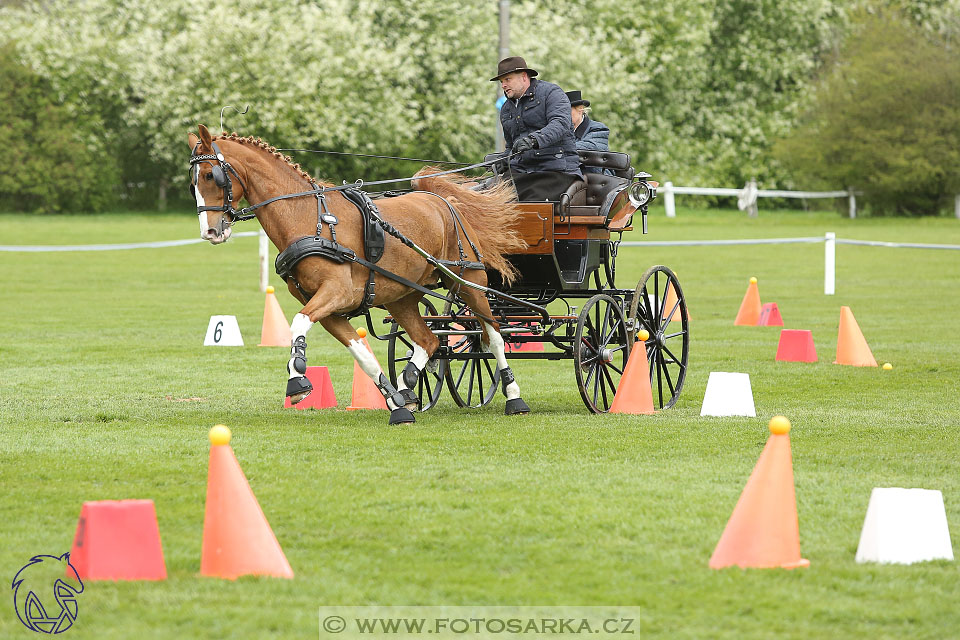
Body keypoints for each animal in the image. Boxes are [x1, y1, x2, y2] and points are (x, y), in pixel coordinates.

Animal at [188, 125, 532, 424]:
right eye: (193, 183)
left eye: (210, 175)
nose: (210, 232)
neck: (309, 219)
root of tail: (441, 200)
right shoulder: (329, 311)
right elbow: (362, 355)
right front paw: (396, 404)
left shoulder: (336, 292)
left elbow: (297, 323)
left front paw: (297, 378)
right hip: (402, 297)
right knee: (429, 340)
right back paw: (408, 386)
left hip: (469, 283)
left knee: (492, 335)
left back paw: (514, 397)